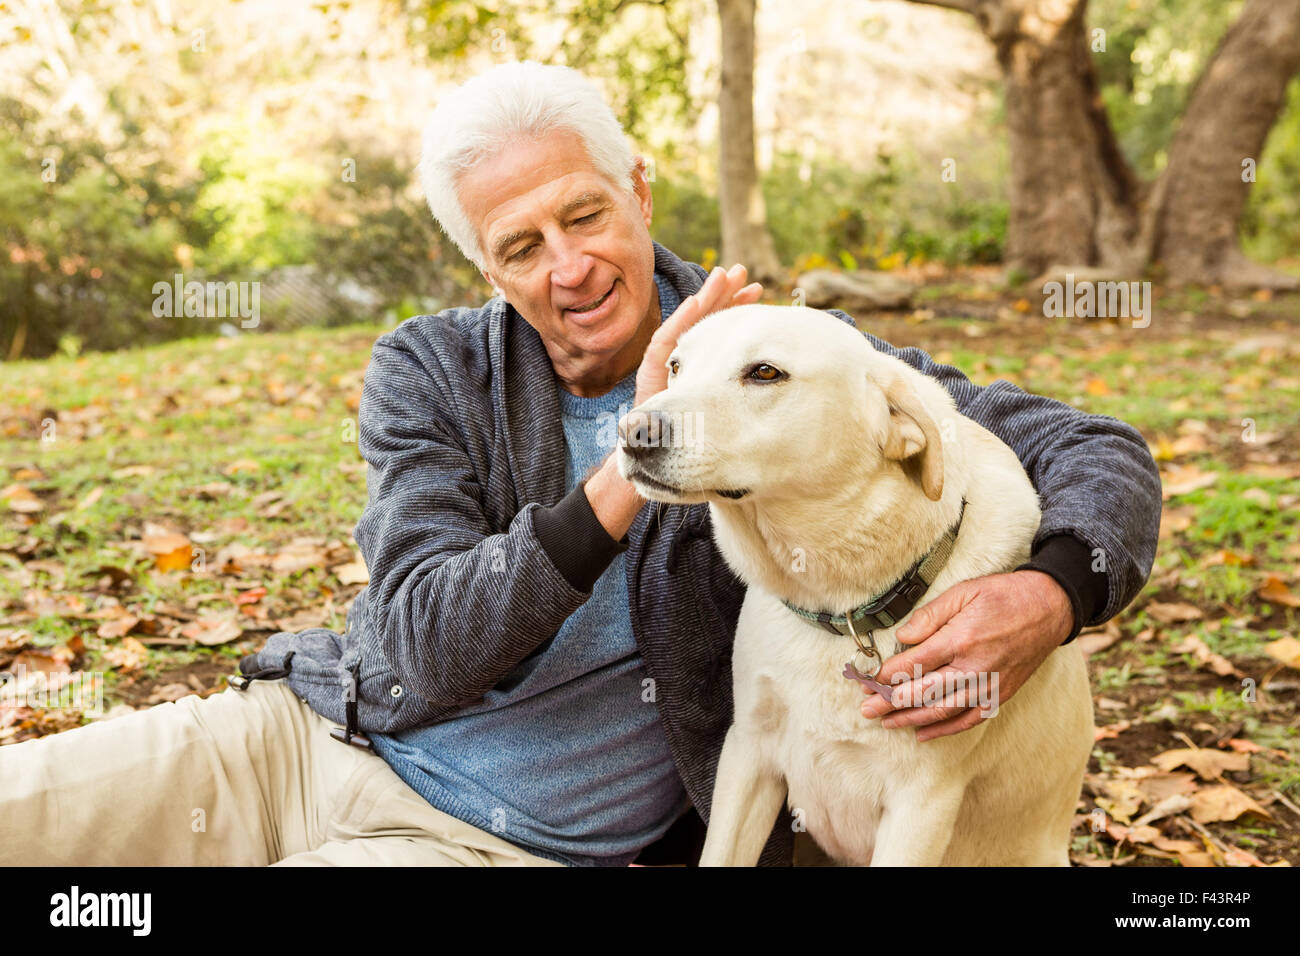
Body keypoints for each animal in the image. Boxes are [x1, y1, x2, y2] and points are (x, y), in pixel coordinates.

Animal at [613, 304, 1092, 868]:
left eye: (765, 372)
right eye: (675, 366)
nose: (631, 432)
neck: (841, 608)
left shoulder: (920, 804)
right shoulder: (747, 754)